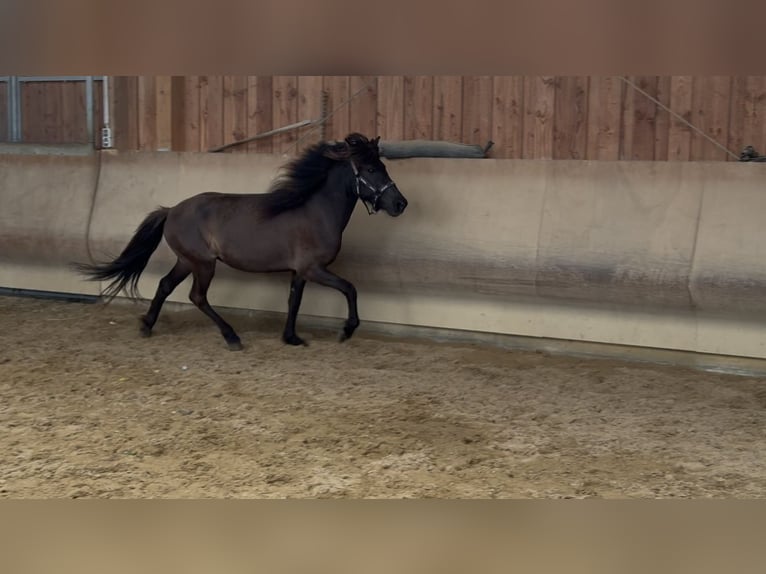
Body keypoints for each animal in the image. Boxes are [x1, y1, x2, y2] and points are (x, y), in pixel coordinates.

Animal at [73, 133, 408, 351]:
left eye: (383, 167)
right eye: (370, 169)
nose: (400, 204)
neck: (315, 210)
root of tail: (171, 210)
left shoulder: (299, 272)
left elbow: (294, 301)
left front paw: (292, 338)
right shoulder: (314, 269)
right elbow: (350, 289)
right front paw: (347, 330)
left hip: (187, 261)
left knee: (165, 286)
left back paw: (147, 326)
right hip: (203, 264)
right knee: (197, 296)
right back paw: (232, 337)